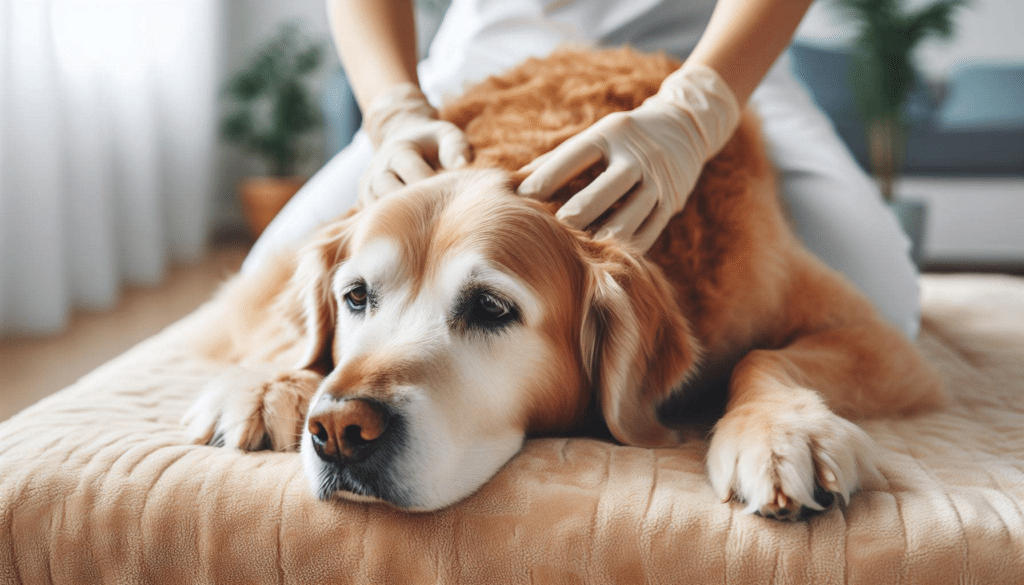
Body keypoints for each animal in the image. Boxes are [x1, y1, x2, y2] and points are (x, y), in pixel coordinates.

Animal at [186, 48, 942, 520]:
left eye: (491, 307)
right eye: (355, 297)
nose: (341, 430)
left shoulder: (879, 342)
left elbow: (763, 354)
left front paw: (781, 433)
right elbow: (296, 339)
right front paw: (275, 382)